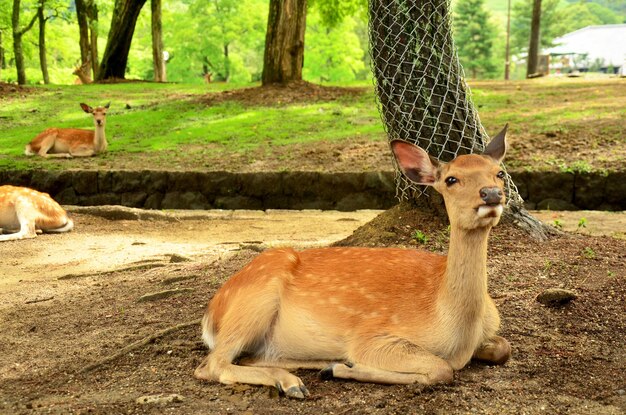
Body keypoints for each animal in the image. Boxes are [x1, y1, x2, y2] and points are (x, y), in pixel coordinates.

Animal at [195, 126, 512, 400]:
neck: (458, 332)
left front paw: (339, 366)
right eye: (451, 179)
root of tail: (211, 313)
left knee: (248, 358)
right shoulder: (371, 336)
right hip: (254, 300)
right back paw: (294, 382)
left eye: (499, 173)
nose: (491, 193)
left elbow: (503, 348)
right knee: (212, 364)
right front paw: (343, 367)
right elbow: (441, 368)